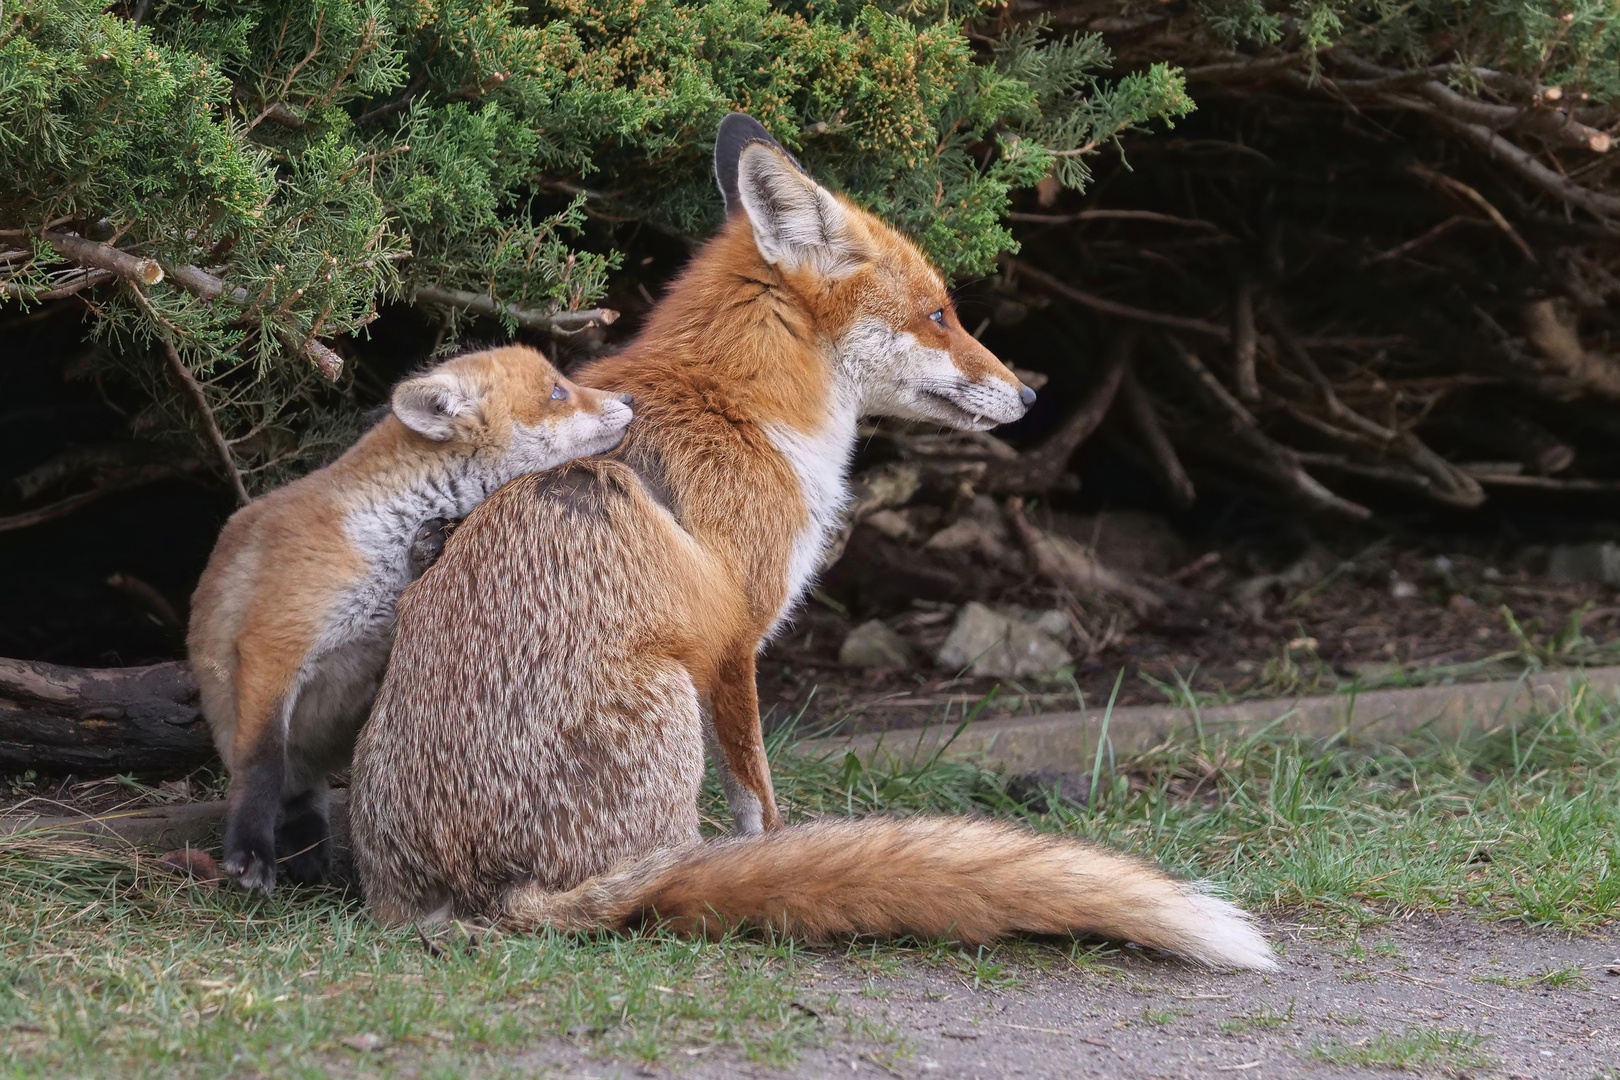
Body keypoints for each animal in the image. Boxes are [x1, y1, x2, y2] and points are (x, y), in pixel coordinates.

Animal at [189, 348, 631, 893]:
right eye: (557, 391)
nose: (630, 398)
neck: (383, 534)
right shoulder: (275, 643)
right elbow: (262, 764)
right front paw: (249, 850)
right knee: (288, 778)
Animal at [345, 118, 1276, 971]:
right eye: (938, 315)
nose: (1028, 397)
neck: (741, 408)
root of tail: (485, 899)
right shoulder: (735, 637)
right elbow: (758, 798)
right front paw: (777, 852)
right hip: (668, 698)